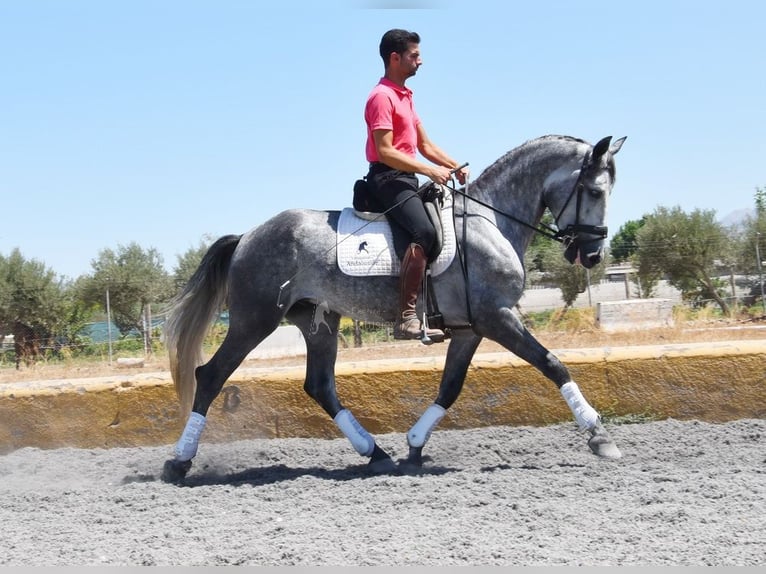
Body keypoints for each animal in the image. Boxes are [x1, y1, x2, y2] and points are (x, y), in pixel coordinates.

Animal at [164, 133, 632, 484]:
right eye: (593, 191)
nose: (592, 255)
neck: (491, 223)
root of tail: (247, 236)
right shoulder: (498, 318)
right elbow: (553, 364)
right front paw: (599, 436)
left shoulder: (471, 328)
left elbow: (450, 387)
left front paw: (414, 445)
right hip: (255, 319)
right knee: (211, 376)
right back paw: (179, 462)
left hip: (319, 322)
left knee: (319, 385)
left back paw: (376, 453)